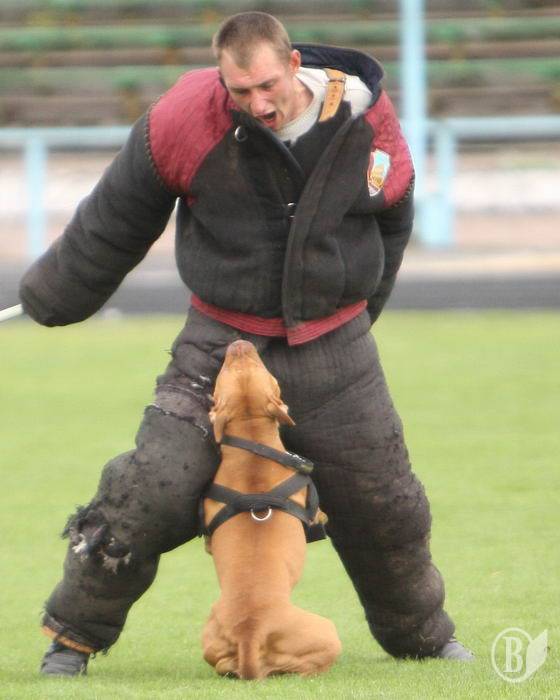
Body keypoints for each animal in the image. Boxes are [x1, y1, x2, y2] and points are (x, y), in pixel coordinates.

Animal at [201, 339, 341, 679]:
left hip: (210, 635)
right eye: (271, 375)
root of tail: (250, 632)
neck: (253, 444)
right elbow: (319, 514)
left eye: (248, 367)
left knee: (223, 664)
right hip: (328, 631)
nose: (240, 343)